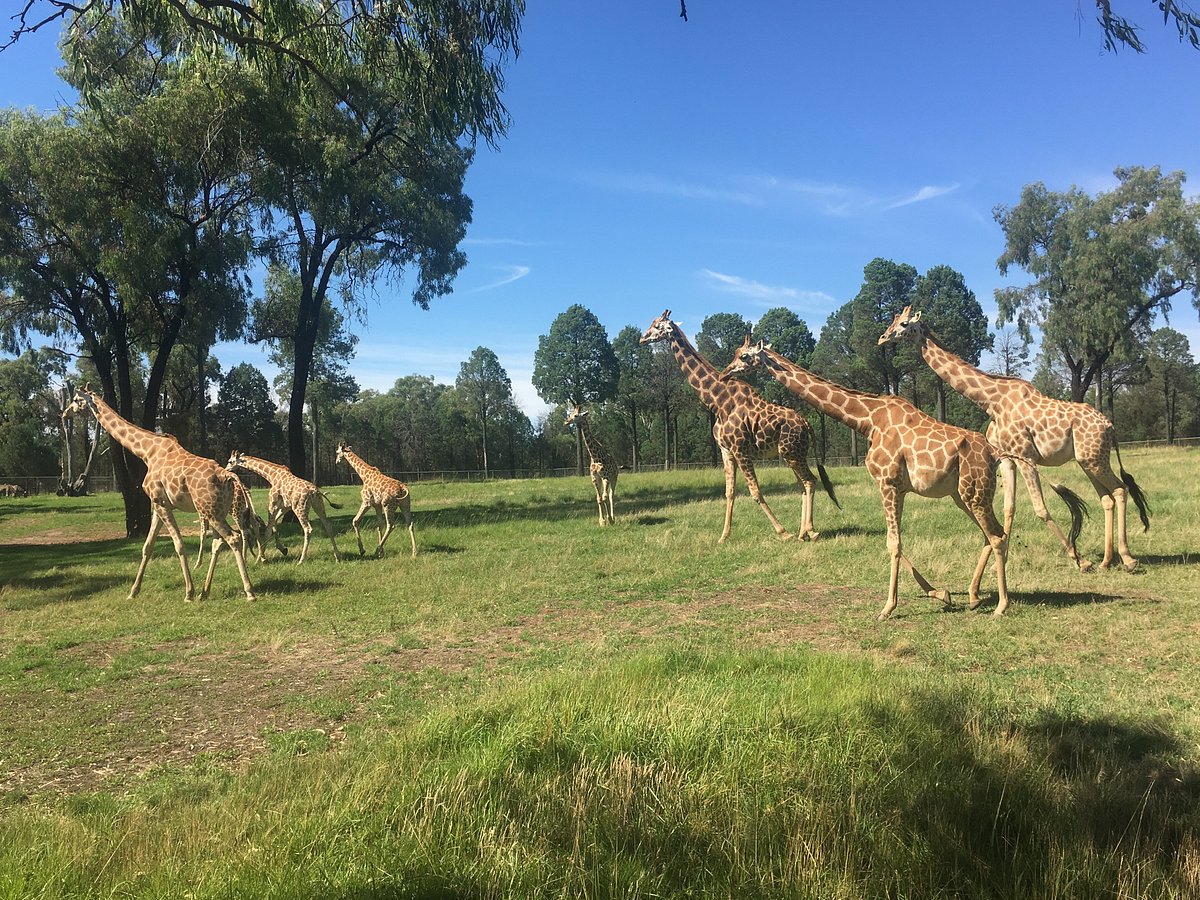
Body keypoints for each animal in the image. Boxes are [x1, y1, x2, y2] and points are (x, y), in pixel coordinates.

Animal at [62, 384, 254, 602]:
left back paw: (248, 591)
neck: (146, 452)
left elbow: (178, 544)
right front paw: (133, 592)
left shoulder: (160, 502)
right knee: (218, 542)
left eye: (76, 400)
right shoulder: (157, 505)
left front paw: (188, 593)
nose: (65, 413)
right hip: (215, 511)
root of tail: (227, 476)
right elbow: (147, 546)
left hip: (211, 512)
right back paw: (205, 592)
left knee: (233, 538)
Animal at [643, 314, 840, 547]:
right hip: (791, 454)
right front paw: (723, 536)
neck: (717, 401)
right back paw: (802, 533)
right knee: (803, 484)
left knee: (810, 481)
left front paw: (783, 532)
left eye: (657, 326)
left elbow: (755, 491)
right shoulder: (726, 451)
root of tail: (807, 425)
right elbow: (729, 492)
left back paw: (808, 531)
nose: (642, 338)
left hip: (792, 453)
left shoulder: (740, 449)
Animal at [720, 338, 1089, 619]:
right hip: (963, 494)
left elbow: (892, 543)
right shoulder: (899, 487)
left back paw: (1001, 605)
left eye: (744, 356)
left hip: (974, 492)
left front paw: (887, 608)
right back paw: (975, 597)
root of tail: (996, 452)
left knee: (997, 536)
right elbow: (896, 543)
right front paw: (941, 594)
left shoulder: (886, 482)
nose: (725, 374)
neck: (866, 420)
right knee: (992, 534)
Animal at [878, 307, 1147, 573]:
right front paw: (998, 565)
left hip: (1094, 459)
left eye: (903, 324)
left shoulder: (1026, 455)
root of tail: (1110, 426)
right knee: (1106, 497)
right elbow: (1009, 509)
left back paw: (1128, 559)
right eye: (893, 320)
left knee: (1119, 489)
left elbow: (1040, 508)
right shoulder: (1007, 458)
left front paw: (1080, 560)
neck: (992, 403)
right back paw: (1107, 560)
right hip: (1089, 459)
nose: (882, 338)